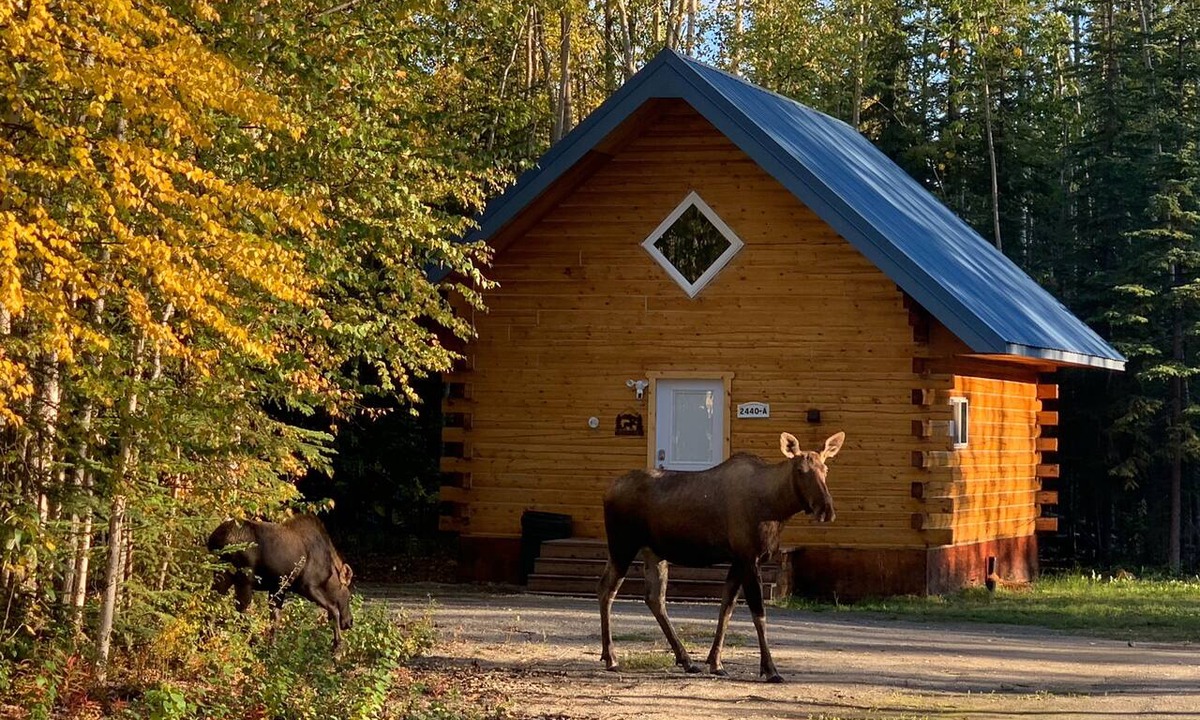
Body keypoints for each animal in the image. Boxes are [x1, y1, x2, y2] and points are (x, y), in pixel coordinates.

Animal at [598, 431, 844, 683]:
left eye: (826, 469)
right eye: (800, 470)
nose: (826, 509)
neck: (777, 508)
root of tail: (608, 491)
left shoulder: (738, 561)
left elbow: (726, 609)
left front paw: (715, 662)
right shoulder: (749, 557)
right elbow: (759, 614)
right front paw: (770, 669)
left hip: (654, 553)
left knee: (654, 598)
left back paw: (686, 660)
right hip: (622, 546)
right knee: (607, 590)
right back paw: (611, 658)